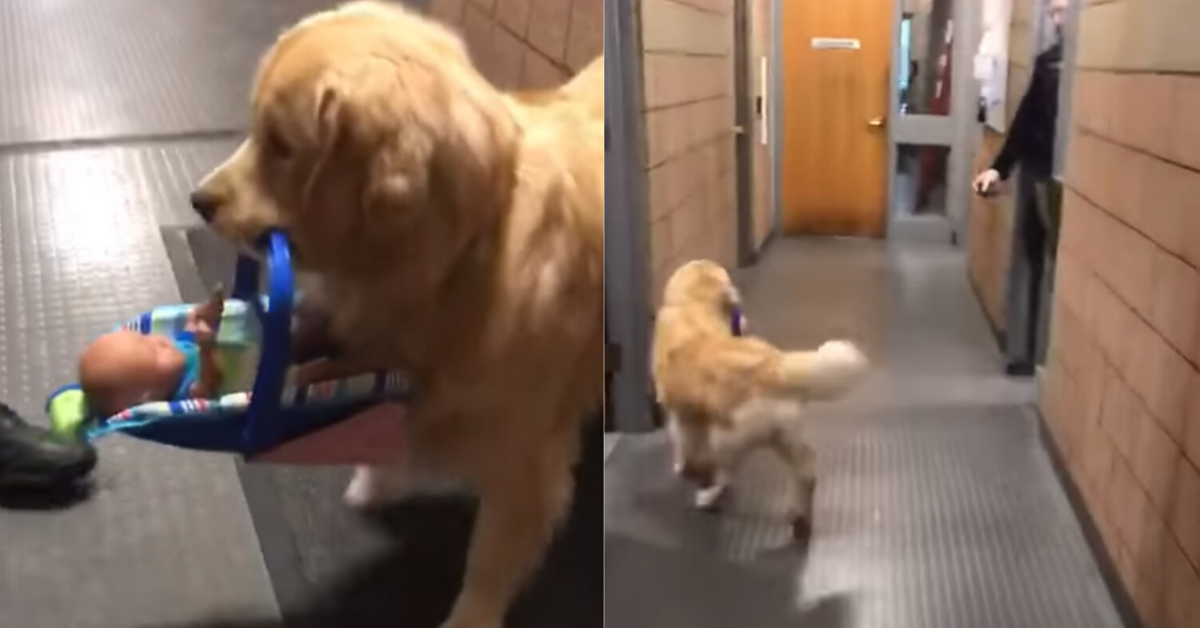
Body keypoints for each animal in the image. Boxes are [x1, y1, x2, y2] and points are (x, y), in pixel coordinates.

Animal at [192, 2, 604, 624]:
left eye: (282, 144)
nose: (198, 201)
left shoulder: (526, 468)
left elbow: (487, 566)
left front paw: (470, 617)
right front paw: (376, 481)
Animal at [652, 260, 868, 540]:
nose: (743, 321)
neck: (695, 306)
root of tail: (776, 368)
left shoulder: (681, 414)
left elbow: (684, 446)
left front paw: (683, 467)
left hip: (727, 439)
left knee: (726, 473)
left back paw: (709, 496)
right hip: (785, 436)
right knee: (807, 470)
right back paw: (800, 517)